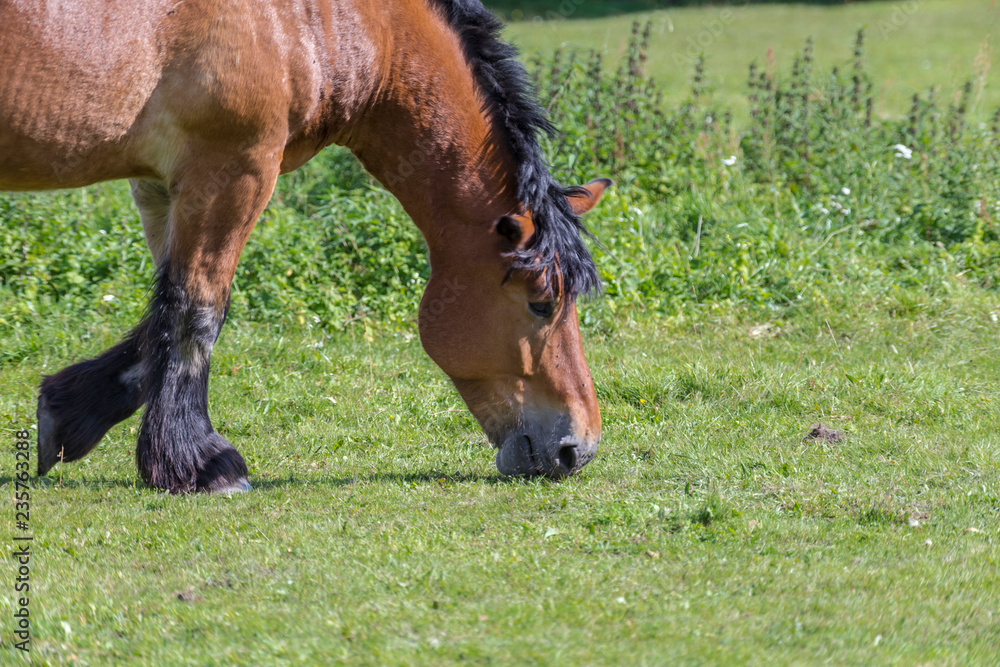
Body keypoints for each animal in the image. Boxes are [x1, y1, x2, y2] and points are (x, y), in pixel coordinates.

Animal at [0, 0, 611, 493]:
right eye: (542, 304)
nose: (576, 450)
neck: (311, 19)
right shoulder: (232, 170)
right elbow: (197, 310)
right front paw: (199, 465)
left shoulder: (159, 184)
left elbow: (161, 316)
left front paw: (69, 412)